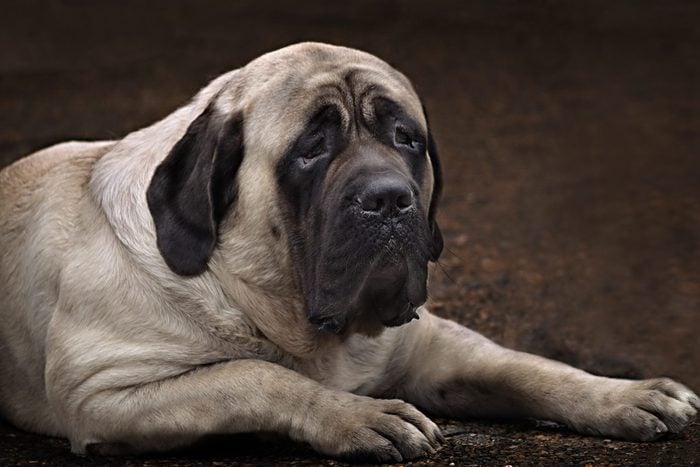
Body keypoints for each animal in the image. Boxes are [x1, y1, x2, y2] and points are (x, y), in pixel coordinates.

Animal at [2, 43, 696, 460]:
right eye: (311, 150)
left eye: (406, 139)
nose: (388, 198)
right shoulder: (102, 393)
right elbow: (253, 376)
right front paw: (355, 415)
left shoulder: (429, 344)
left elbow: (526, 367)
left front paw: (623, 395)